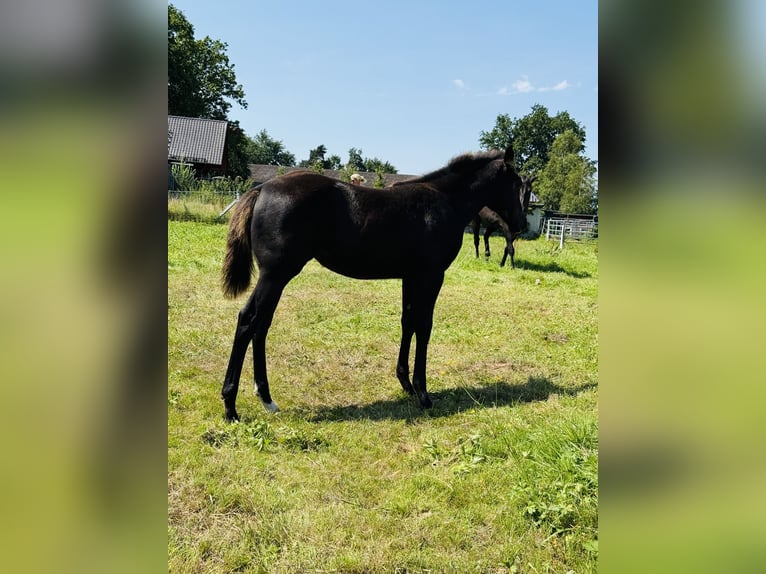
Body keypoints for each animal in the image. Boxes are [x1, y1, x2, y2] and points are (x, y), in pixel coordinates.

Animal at [220, 147, 528, 421]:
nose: (521, 225)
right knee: (249, 320)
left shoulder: (411, 276)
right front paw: (423, 393)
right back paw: (231, 406)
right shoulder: (431, 276)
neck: (445, 201)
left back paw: (266, 399)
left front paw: (405, 383)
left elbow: (408, 322)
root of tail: (261, 190)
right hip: (275, 274)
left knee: (261, 325)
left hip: (276, 276)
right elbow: (424, 327)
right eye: (515, 183)